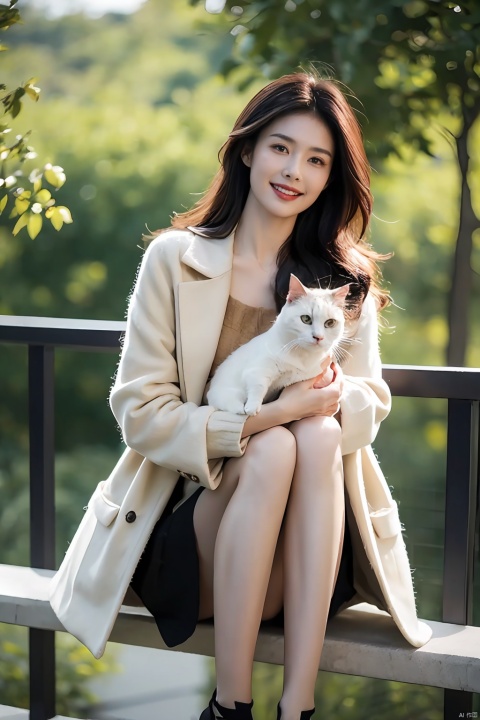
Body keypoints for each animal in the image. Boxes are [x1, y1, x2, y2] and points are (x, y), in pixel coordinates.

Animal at [206, 274, 348, 416]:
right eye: (306, 319)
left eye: (330, 323)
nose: (318, 337)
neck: (302, 355)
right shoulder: (258, 369)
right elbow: (259, 386)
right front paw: (252, 407)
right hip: (226, 394)